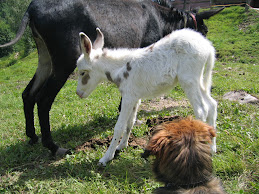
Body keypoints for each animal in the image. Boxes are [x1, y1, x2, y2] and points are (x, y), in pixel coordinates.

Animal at [76, 28, 218, 166]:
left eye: (82, 73)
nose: (78, 93)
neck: (120, 68)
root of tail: (207, 46)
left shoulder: (128, 97)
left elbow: (119, 126)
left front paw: (106, 158)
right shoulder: (135, 97)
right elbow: (130, 122)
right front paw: (122, 145)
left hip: (189, 80)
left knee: (201, 110)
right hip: (199, 80)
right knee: (212, 105)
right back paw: (211, 148)